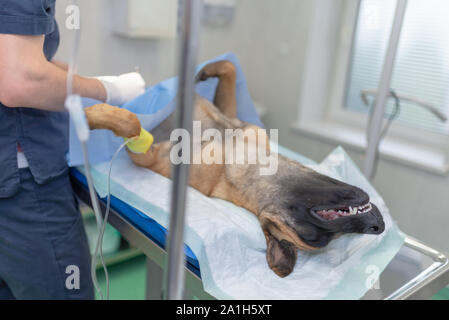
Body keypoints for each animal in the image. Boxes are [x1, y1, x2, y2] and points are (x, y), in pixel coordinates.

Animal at [85, 60, 384, 278]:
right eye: (319, 230)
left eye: (319, 238)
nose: (378, 226)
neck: (235, 162)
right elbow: (228, 67)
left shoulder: (148, 157)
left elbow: (135, 126)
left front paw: (95, 115)